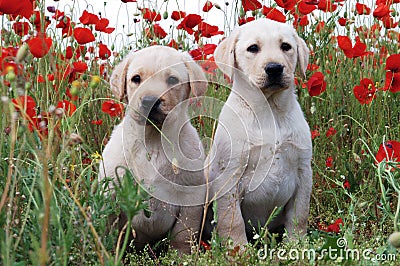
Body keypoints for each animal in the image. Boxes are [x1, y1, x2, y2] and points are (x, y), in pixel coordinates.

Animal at [99, 45, 209, 251]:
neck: (153, 139)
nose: (149, 101)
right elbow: (108, 232)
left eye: (172, 80)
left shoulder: (191, 197)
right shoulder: (110, 193)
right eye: (136, 79)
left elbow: (182, 235)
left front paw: (180, 256)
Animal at [206, 18, 312, 246]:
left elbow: (299, 215)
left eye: (286, 46)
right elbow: (233, 220)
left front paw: (297, 246)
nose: (274, 68)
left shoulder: (303, 171)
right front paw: (239, 250)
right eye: (253, 48)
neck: (269, 110)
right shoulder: (229, 176)